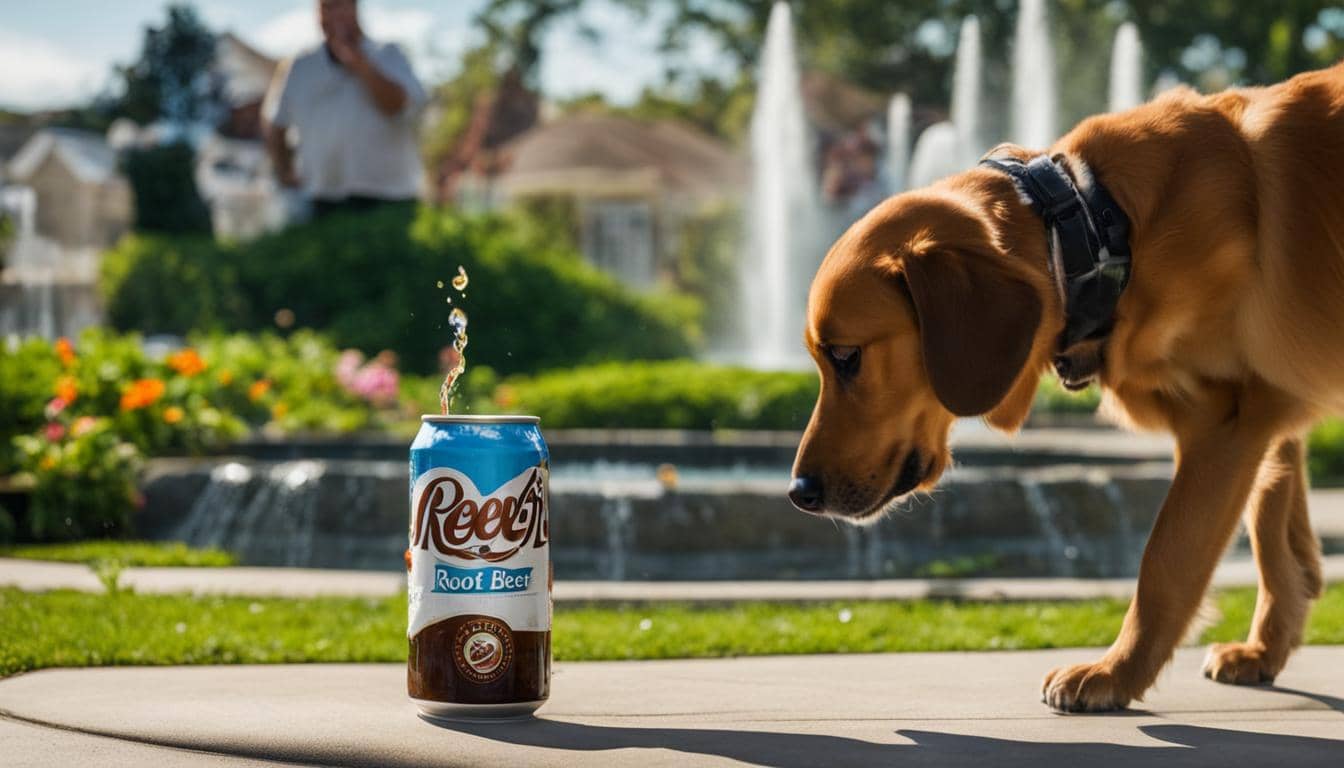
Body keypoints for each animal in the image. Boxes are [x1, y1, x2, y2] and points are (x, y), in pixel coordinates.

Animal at [784, 63, 1333, 710]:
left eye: (847, 357)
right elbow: (1278, 539)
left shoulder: (1226, 420)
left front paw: (1117, 673)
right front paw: (1267, 647)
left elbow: (1167, 561)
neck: (1097, 227)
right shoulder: (1265, 408)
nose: (797, 492)